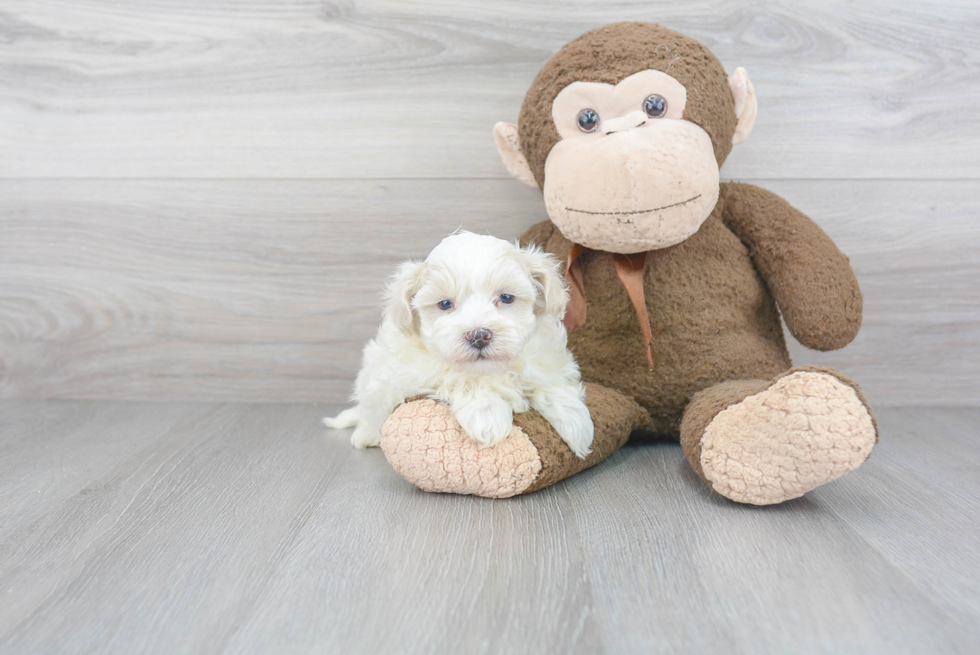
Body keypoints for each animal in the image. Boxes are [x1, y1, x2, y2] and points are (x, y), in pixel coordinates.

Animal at [326, 233, 592, 458]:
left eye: (506, 298)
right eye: (445, 304)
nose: (479, 335)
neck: (492, 370)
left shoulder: (543, 357)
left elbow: (550, 382)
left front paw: (577, 422)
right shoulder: (418, 372)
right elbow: (462, 380)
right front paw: (487, 417)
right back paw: (366, 434)